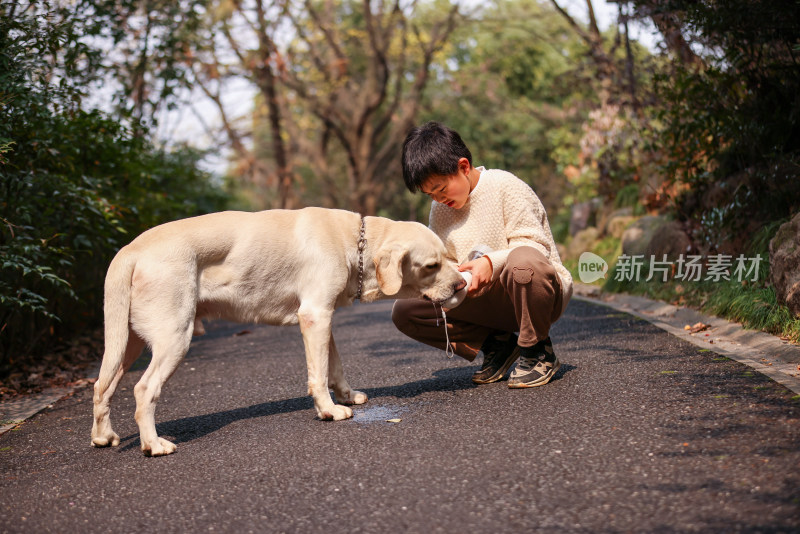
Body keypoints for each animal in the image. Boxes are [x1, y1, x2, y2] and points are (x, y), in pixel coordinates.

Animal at [91, 208, 462, 456]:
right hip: (175, 337)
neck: (352, 242)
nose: (462, 284)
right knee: (143, 389)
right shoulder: (314, 314)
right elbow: (318, 375)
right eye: (431, 265)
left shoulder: (323, 318)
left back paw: (103, 436)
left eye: (450, 257)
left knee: (102, 387)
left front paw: (345, 396)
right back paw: (153, 444)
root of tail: (129, 250)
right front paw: (329, 411)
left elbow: (334, 367)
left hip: (128, 344)